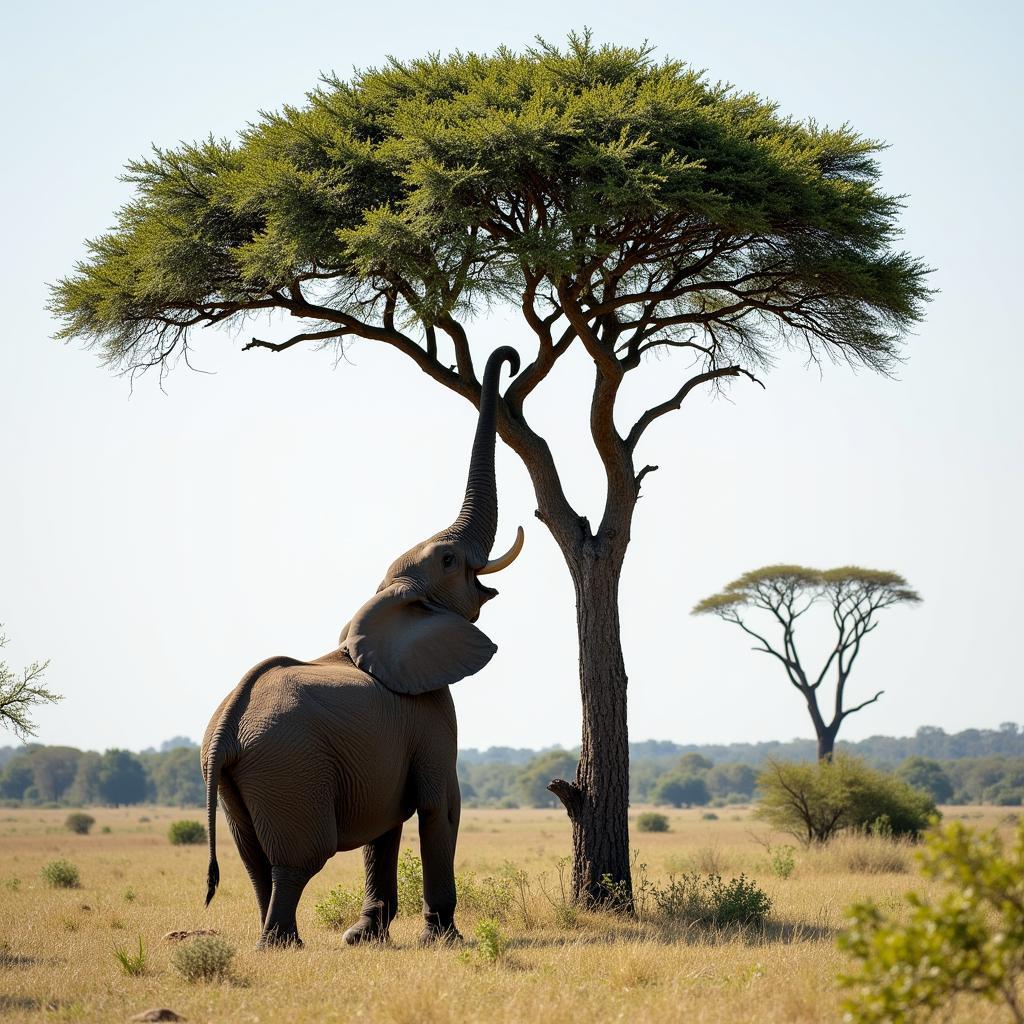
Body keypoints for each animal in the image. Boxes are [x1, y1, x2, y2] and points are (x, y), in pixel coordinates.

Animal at [199, 348, 524, 946]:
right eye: (448, 560)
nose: (509, 359)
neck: (385, 600)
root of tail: (226, 728)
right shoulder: (430, 720)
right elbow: (439, 808)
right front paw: (445, 940)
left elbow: (385, 824)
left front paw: (365, 938)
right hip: (289, 767)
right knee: (299, 859)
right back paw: (283, 947)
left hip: (241, 779)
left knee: (256, 860)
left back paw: (279, 943)